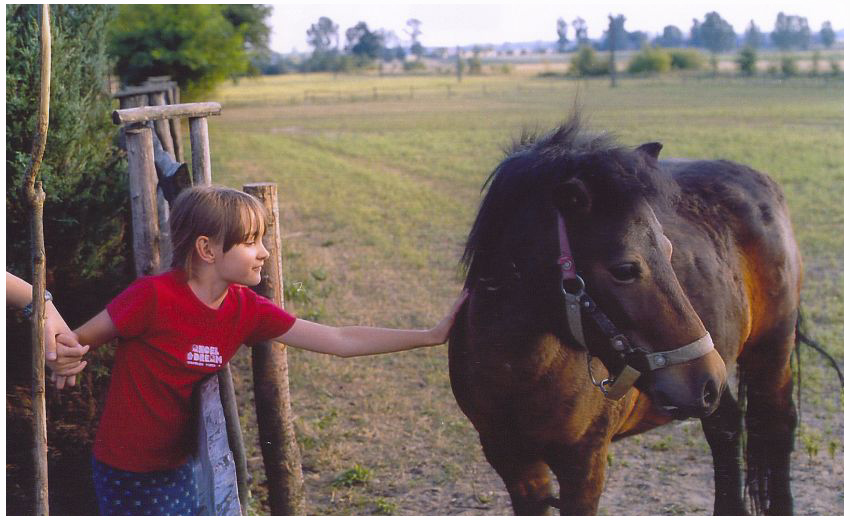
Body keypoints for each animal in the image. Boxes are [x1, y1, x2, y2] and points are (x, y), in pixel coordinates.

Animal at [450, 115, 800, 516]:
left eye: (668, 249)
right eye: (625, 269)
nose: (707, 373)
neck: (518, 376)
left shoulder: (585, 466)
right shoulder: (514, 465)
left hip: (770, 352)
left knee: (776, 426)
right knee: (725, 430)